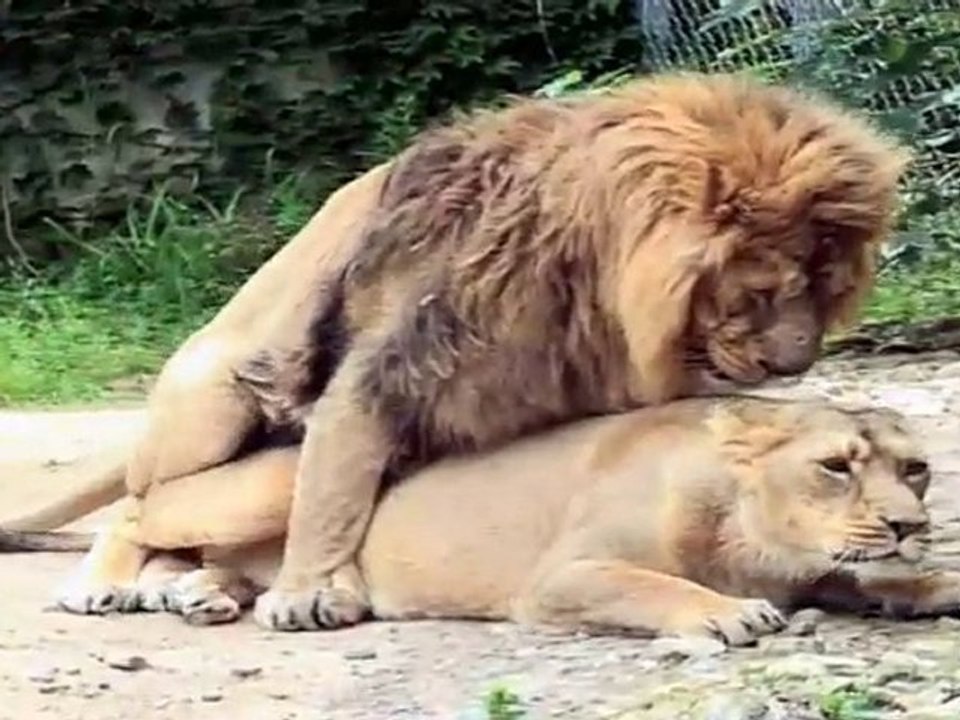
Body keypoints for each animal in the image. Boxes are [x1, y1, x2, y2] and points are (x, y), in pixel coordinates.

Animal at [1, 72, 908, 632]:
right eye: (763, 290)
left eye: (826, 289)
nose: (794, 363)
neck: (588, 278)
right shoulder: (389, 362)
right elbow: (335, 485)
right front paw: (310, 594)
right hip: (212, 393)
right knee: (141, 504)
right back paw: (110, 584)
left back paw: (191, 593)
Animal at [10, 396, 956, 646]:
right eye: (835, 466)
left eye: (915, 469)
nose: (911, 522)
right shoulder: (561, 580)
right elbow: (652, 585)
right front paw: (728, 613)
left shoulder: (823, 566)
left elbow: (862, 580)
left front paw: (930, 581)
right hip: (275, 484)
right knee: (139, 513)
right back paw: (100, 590)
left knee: (198, 560)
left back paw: (200, 599)